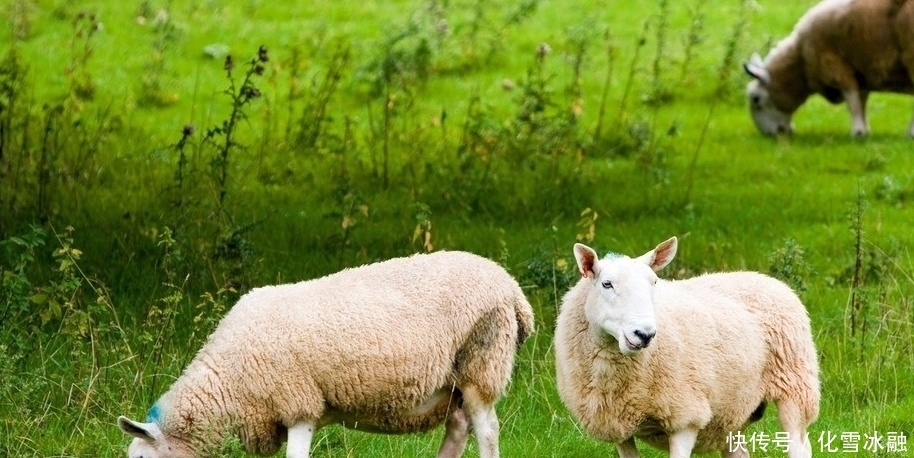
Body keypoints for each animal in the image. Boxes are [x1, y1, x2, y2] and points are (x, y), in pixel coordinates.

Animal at [119, 250, 536, 458]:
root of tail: (512, 289)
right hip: (456, 382)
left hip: (482, 361)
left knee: (487, 431)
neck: (227, 386)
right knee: (459, 427)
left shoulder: (298, 403)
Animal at [548, 238, 820, 456]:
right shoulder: (619, 426)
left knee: (800, 445)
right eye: (606, 284)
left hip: (795, 386)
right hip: (734, 409)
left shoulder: (684, 416)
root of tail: (763, 277)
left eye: (654, 282)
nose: (644, 334)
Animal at [740, 0, 912, 136]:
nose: (769, 135)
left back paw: (911, 133)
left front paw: (857, 132)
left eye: (756, 99)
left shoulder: (835, 67)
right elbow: (861, 100)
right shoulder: (860, 71)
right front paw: (865, 130)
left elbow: (852, 101)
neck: (801, 60)